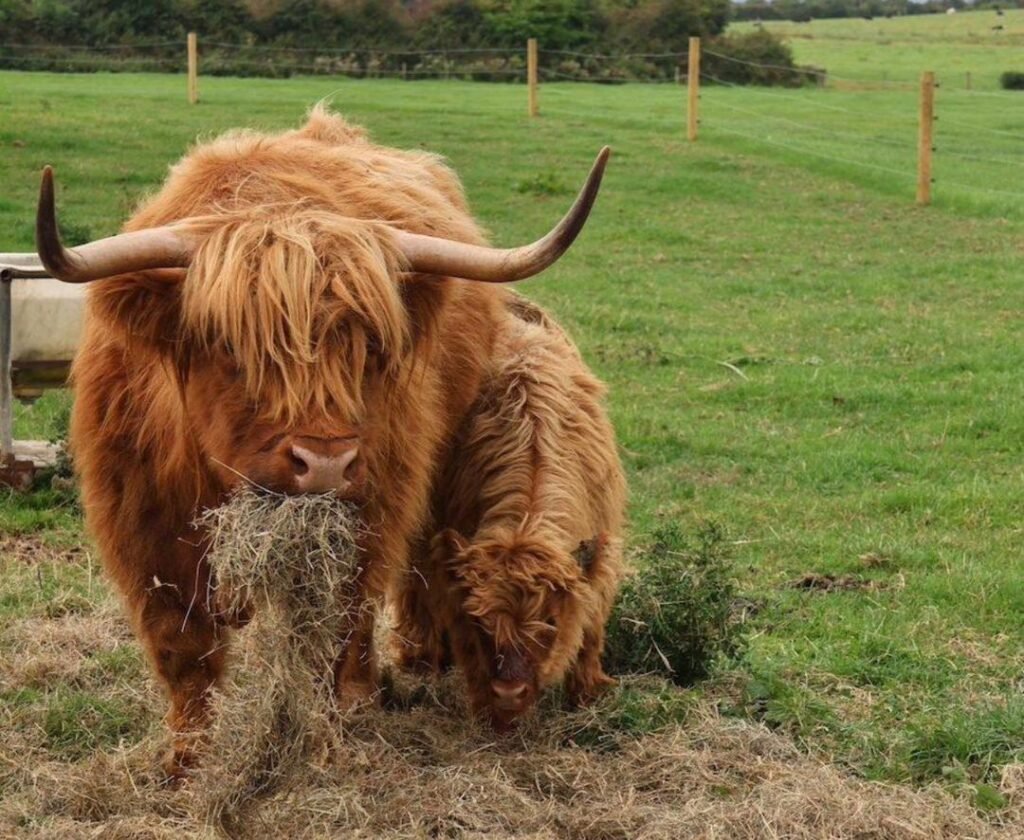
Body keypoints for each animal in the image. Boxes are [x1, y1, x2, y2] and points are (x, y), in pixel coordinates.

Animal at [394, 304, 626, 729]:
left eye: (549, 622)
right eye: (483, 623)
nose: (509, 692)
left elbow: (591, 624)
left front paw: (587, 692)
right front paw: (490, 711)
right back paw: (421, 660)